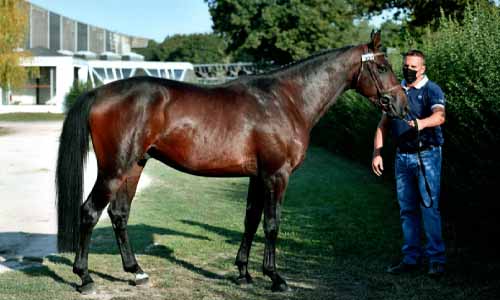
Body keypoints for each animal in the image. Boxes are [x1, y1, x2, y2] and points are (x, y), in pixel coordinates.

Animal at [55, 31, 406, 294]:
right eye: (383, 66)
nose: (401, 104)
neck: (286, 99)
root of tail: (100, 92)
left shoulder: (258, 176)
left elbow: (251, 220)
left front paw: (244, 273)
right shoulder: (277, 175)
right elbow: (272, 224)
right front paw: (275, 278)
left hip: (134, 166)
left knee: (119, 214)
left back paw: (136, 271)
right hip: (114, 169)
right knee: (89, 212)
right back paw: (84, 277)